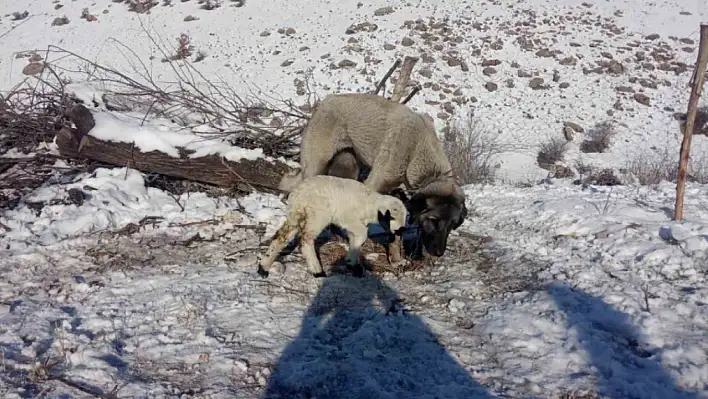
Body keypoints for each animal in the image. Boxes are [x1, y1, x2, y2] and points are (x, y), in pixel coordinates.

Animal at [258, 177, 406, 280]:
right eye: (392, 218)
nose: (401, 230)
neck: (370, 205)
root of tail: (300, 194)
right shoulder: (348, 218)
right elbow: (362, 234)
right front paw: (352, 264)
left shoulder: (354, 224)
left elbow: (355, 239)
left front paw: (353, 265)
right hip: (318, 215)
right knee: (306, 239)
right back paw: (317, 271)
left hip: (296, 214)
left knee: (281, 236)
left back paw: (263, 268)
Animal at [280, 94, 468, 262]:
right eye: (433, 220)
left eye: (452, 224)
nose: (439, 253)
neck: (417, 152)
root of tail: (325, 101)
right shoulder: (373, 186)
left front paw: (396, 258)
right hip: (316, 166)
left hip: (347, 168)